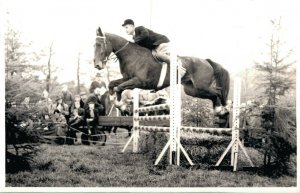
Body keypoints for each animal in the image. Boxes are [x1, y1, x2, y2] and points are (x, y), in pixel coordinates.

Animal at [94, 26, 230, 115]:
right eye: (93, 45)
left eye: (99, 45)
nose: (97, 65)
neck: (131, 55)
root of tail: (206, 61)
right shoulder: (127, 78)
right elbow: (113, 85)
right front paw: (118, 103)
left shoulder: (139, 81)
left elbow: (119, 88)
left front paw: (121, 105)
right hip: (192, 90)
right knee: (213, 94)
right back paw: (219, 110)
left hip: (201, 86)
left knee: (217, 92)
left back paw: (223, 109)